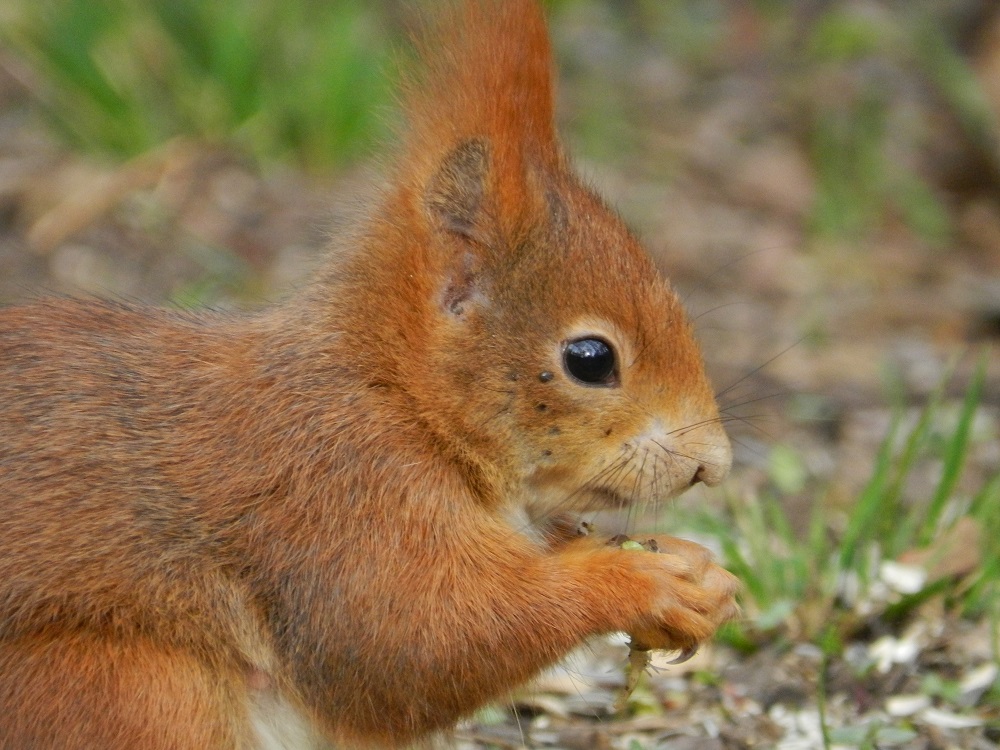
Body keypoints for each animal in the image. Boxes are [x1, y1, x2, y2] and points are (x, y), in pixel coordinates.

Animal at [0, 2, 736, 748]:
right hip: (131, 688)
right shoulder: (336, 496)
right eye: (590, 359)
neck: (395, 395)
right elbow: (413, 640)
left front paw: (697, 568)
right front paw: (644, 582)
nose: (715, 464)